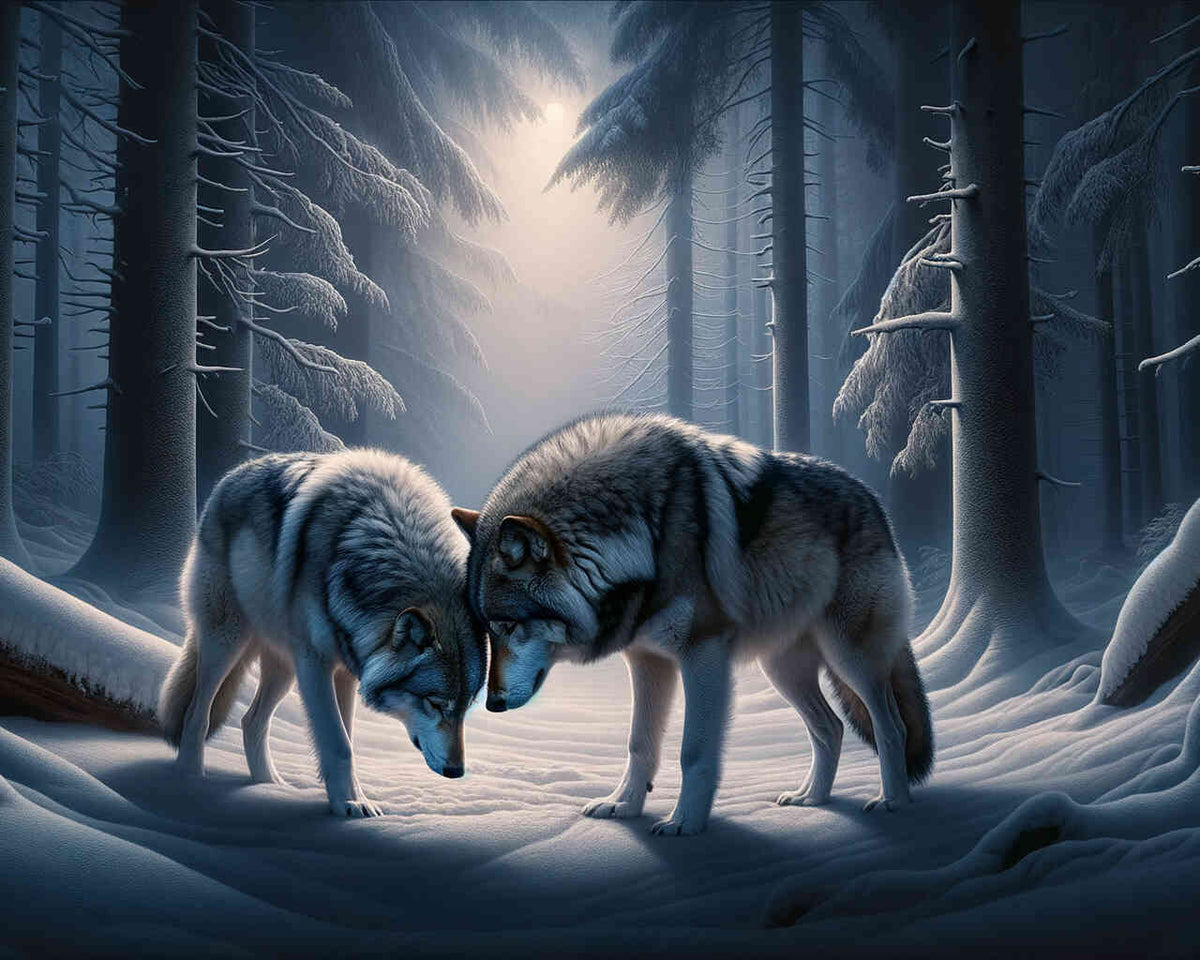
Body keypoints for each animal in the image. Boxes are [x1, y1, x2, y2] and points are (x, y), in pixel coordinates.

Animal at [158, 449, 487, 817]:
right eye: (434, 703)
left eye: (466, 707)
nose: (456, 771)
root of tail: (231, 475)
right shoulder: (315, 664)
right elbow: (338, 743)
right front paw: (349, 804)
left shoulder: (346, 670)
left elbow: (349, 740)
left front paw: (353, 798)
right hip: (226, 642)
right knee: (197, 712)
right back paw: (191, 781)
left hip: (284, 670)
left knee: (251, 721)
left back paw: (269, 786)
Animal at [452, 412, 933, 836]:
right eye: (488, 629)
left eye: (507, 625)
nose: (491, 704)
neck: (645, 534)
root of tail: (872, 499)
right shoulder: (646, 660)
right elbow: (639, 743)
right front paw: (623, 805)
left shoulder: (704, 655)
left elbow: (694, 752)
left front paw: (685, 823)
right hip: (781, 669)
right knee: (830, 728)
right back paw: (811, 798)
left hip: (850, 657)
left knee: (892, 727)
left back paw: (893, 801)